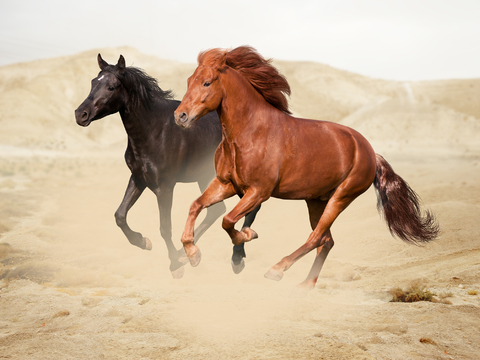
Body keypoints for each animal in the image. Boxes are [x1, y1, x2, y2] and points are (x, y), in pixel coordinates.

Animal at [175, 45, 438, 288]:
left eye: (207, 83)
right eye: (189, 81)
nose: (180, 116)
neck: (249, 132)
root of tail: (371, 152)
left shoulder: (258, 191)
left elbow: (228, 220)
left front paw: (246, 236)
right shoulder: (226, 184)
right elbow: (196, 206)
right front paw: (193, 254)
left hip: (341, 197)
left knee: (316, 237)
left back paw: (277, 270)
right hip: (316, 200)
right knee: (326, 240)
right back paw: (306, 285)